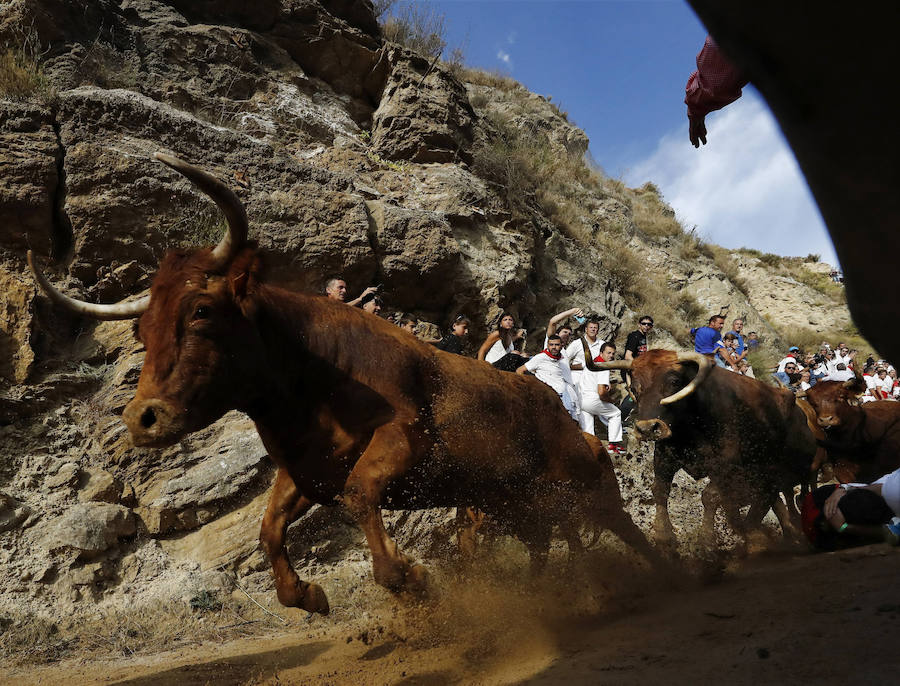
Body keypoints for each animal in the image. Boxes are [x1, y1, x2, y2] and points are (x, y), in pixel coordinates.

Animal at [28, 153, 660, 616]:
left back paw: (668, 574)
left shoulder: (402, 441)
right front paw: (306, 594)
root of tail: (565, 414)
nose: (144, 417)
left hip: (585, 488)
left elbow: (361, 495)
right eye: (142, 326)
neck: (313, 371)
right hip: (515, 504)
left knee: (627, 530)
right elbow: (269, 528)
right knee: (547, 546)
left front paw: (408, 575)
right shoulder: (308, 470)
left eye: (202, 310)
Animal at [584, 350, 816, 548]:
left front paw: (707, 541)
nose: (648, 428)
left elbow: (710, 497)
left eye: (674, 382)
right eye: (634, 387)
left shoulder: (725, 465)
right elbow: (660, 489)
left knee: (780, 501)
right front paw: (663, 534)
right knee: (769, 504)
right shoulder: (665, 456)